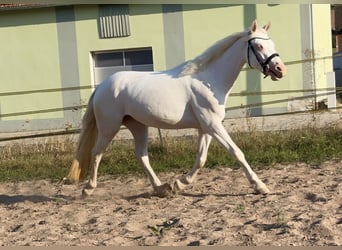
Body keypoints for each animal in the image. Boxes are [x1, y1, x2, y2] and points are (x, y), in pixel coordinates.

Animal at [66, 21, 286, 197]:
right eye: (259, 45)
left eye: (273, 44)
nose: (280, 69)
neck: (208, 80)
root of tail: (102, 86)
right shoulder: (212, 125)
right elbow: (237, 152)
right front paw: (260, 186)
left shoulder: (206, 128)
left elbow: (201, 159)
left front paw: (179, 184)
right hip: (109, 127)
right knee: (97, 153)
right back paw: (88, 189)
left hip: (138, 126)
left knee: (141, 156)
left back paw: (161, 188)